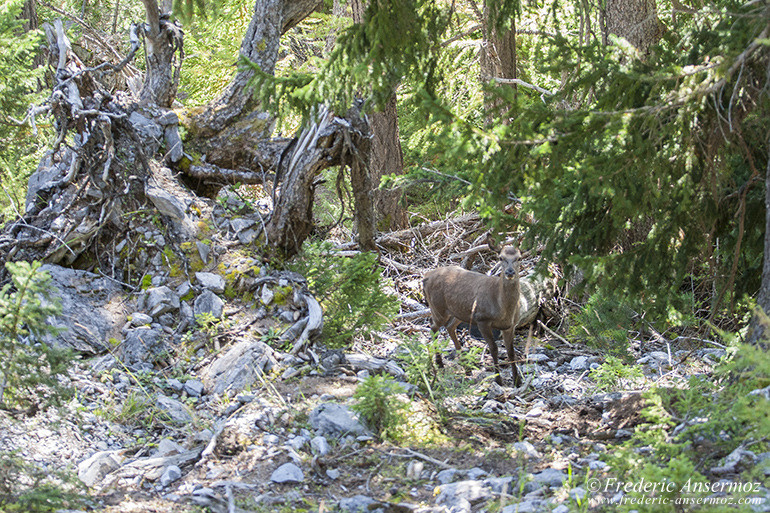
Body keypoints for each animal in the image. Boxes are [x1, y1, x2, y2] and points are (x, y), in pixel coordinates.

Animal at [420, 238, 520, 386]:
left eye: (519, 258)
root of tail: (425, 276)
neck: (503, 309)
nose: (510, 272)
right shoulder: (482, 319)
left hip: (458, 312)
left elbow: (511, 352)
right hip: (438, 307)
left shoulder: (510, 326)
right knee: (433, 327)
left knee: (449, 327)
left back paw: (466, 368)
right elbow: (494, 349)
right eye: (501, 257)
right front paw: (498, 379)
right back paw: (440, 364)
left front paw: (517, 381)